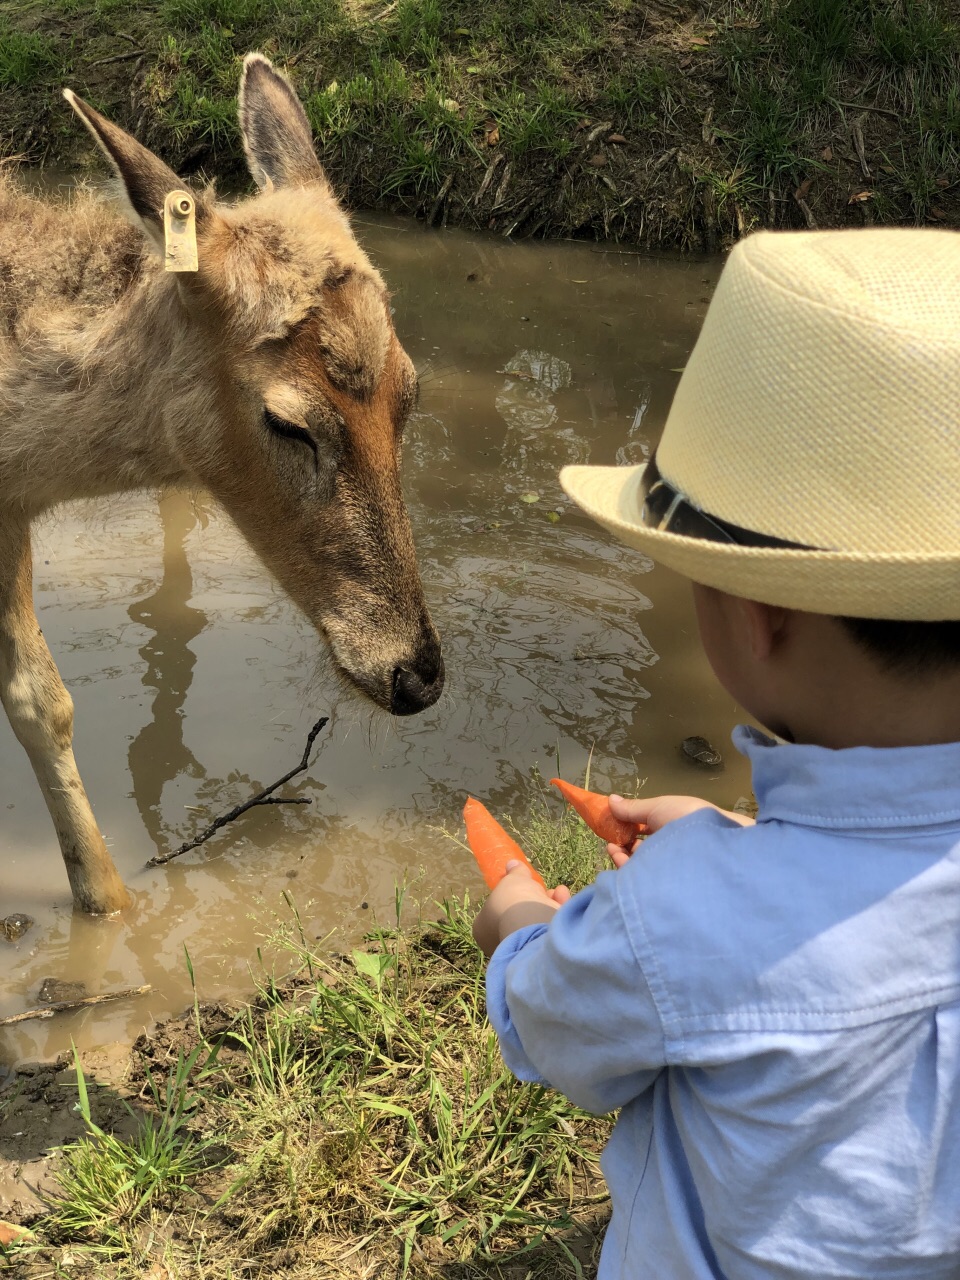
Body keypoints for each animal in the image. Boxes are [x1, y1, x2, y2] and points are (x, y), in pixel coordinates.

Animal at [0, 55, 442, 916]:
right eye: (289, 422)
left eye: (409, 393)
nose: (415, 674)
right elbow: (40, 699)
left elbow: (43, 698)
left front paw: (108, 904)